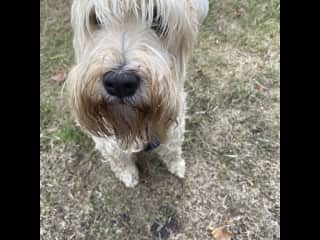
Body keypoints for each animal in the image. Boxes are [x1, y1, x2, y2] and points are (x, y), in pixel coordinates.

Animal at [66, 0, 209, 188]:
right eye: (95, 18)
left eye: (157, 17)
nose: (119, 83)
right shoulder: (108, 142)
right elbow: (119, 159)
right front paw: (128, 175)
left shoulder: (173, 124)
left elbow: (172, 149)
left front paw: (177, 165)